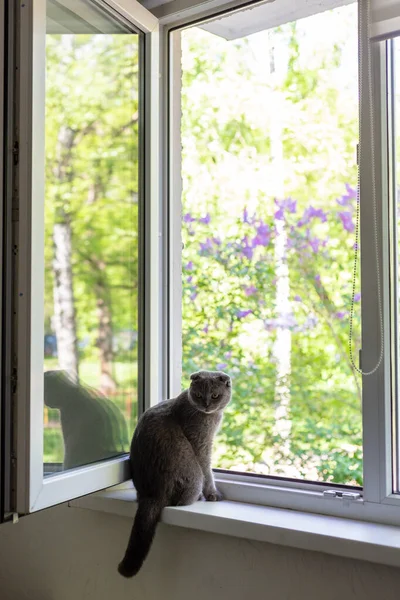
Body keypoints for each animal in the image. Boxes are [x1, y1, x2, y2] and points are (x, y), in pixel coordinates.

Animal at [117, 368, 231, 580]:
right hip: (193, 475)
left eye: (215, 396)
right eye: (199, 395)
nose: (206, 405)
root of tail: (152, 494)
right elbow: (208, 470)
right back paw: (197, 497)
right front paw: (213, 494)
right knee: (181, 500)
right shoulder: (201, 444)